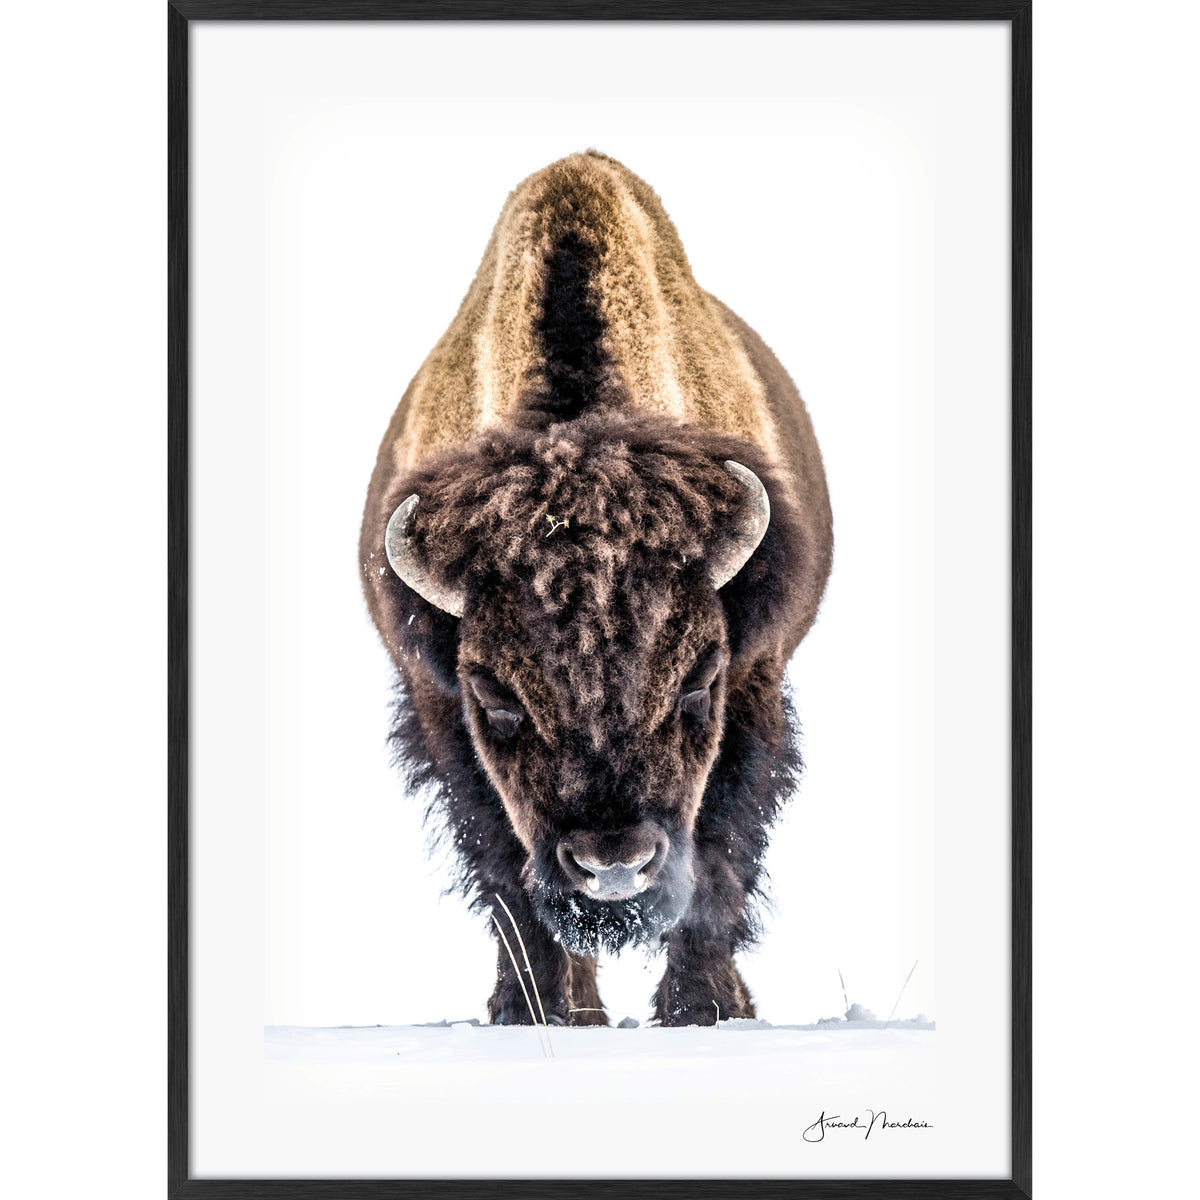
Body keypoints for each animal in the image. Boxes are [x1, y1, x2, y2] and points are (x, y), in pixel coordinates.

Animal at [360, 152, 832, 1027]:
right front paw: (536, 1012)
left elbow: (719, 856)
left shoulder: (756, 681)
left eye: (699, 680)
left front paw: (701, 1009)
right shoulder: (439, 709)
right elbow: (507, 875)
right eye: (496, 694)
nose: (613, 865)